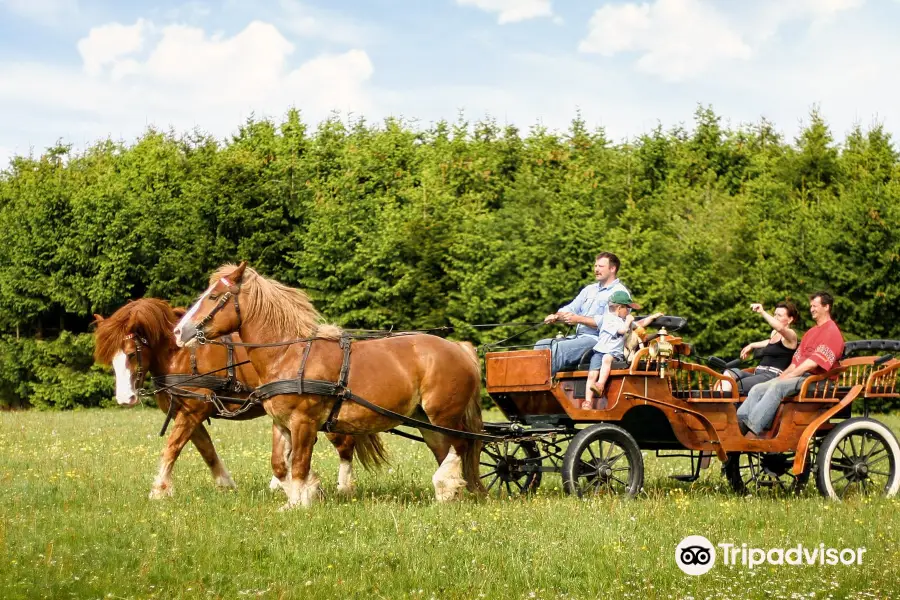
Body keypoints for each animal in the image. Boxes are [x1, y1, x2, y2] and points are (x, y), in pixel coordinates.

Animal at [95, 298, 386, 500]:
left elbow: (172, 448)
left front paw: (158, 491)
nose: (125, 398)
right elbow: (207, 450)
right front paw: (226, 484)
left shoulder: (193, 411)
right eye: (110, 358)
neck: (180, 354)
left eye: (131, 354)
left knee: (344, 444)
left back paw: (343, 487)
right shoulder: (190, 413)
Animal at [174, 262, 486, 506]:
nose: (179, 331)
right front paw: (301, 496)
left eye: (214, 296)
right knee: (445, 450)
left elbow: (299, 465)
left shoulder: (303, 421)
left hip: (444, 415)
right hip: (426, 421)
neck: (289, 352)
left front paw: (300, 503)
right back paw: (448, 494)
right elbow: (280, 465)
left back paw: (447, 486)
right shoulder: (281, 423)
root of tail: (459, 347)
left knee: (461, 444)